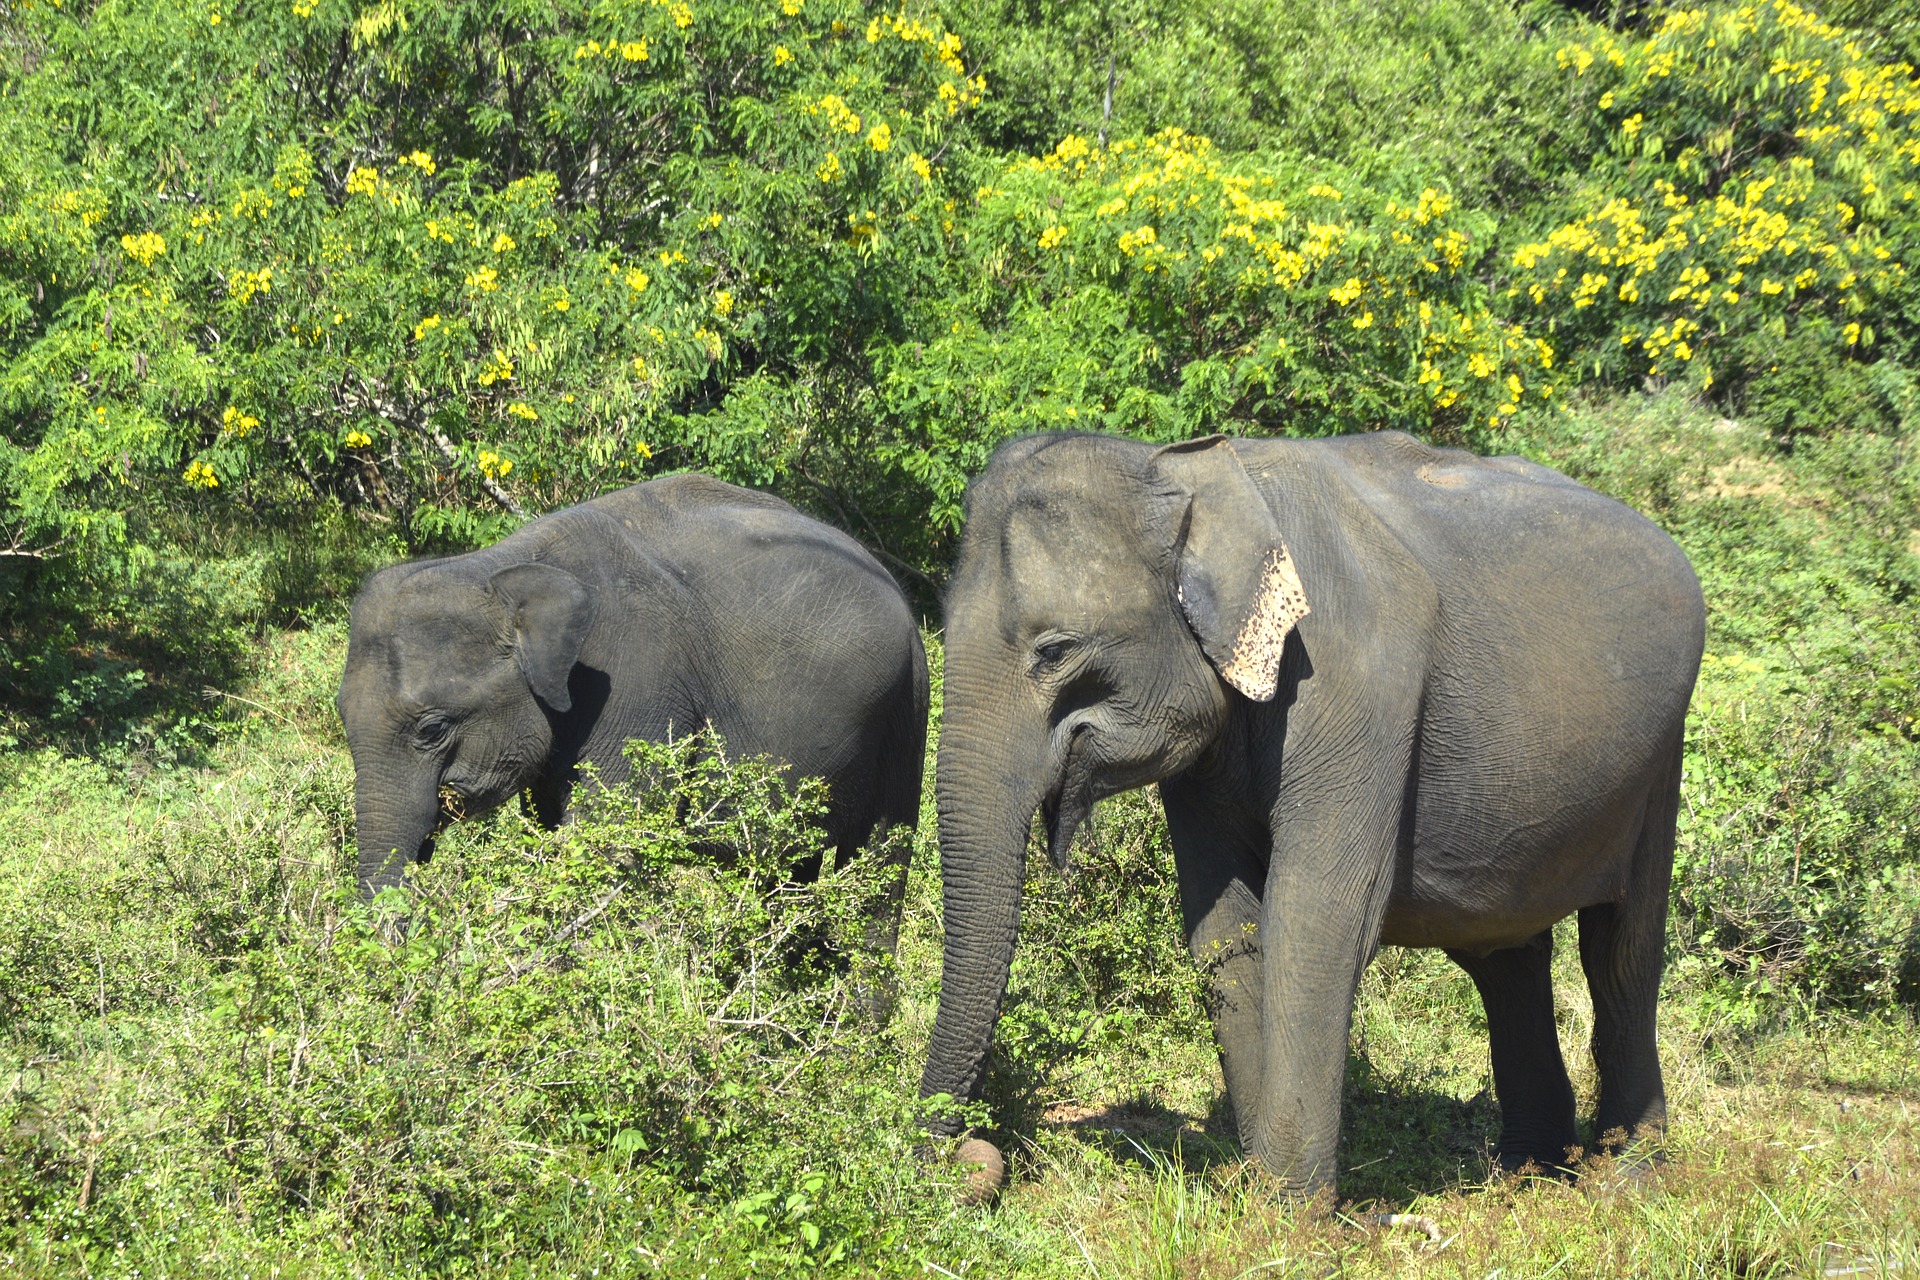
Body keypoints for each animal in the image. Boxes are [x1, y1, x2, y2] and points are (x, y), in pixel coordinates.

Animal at [334, 479, 925, 990]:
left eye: (432, 729)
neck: (500, 568)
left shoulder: (637, 684)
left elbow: (603, 847)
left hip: (904, 709)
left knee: (879, 871)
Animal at [921, 429, 1704, 1205]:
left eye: (1055, 651)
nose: (969, 1159)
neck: (1183, 469)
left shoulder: (1351, 680)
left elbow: (1318, 914)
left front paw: (1288, 1211)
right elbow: (1226, 927)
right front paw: (1254, 1189)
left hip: (1658, 762)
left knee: (1621, 950)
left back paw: (1627, 1176)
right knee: (1505, 954)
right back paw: (1528, 1173)